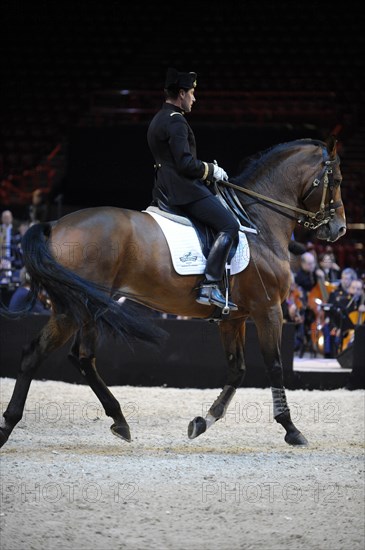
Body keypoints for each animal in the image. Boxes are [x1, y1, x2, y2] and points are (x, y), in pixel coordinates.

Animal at [0, 136, 344, 450]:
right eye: (338, 180)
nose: (339, 229)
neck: (258, 221)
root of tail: (56, 224)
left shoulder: (232, 317)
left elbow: (237, 371)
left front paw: (203, 421)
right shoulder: (269, 309)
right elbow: (274, 367)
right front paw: (291, 429)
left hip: (75, 308)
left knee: (55, 355)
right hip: (79, 308)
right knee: (66, 355)